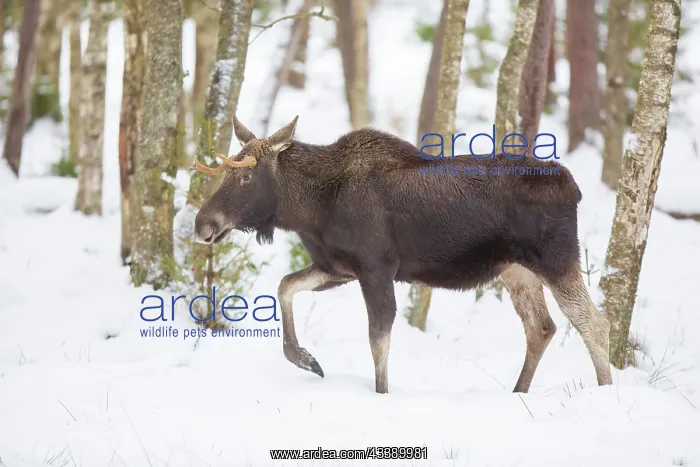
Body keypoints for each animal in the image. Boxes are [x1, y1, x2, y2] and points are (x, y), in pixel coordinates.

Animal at [191, 115, 613, 394]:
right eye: (225, 174)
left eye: (245, 176)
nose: (202, 224)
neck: (310, 210)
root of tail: (573, 188)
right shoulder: (337, 267)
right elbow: (285, 286)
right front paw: (306, 359)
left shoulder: (376, 267)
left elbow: (379, 338)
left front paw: (381, 394)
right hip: (516, 270)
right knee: (541, 327)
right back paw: (518, 392)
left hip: (555, 259)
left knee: (594, 323)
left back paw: (605, 392)